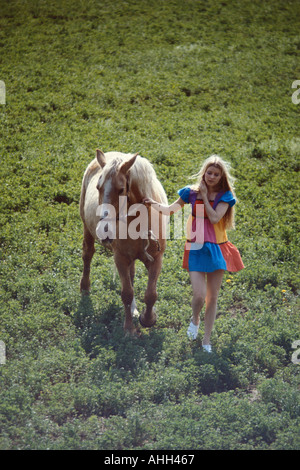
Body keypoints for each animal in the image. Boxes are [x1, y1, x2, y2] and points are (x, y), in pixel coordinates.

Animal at [79, 151, 168, 334]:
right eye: (98, 187)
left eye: (121, 189)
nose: (104, 230)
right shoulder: (120, 258)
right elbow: (127, 293)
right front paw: (128, 329)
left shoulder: (156, 259)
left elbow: (151, 294)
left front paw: (147, 319)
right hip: (86, 228)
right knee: (87, 255)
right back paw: (85, 287)